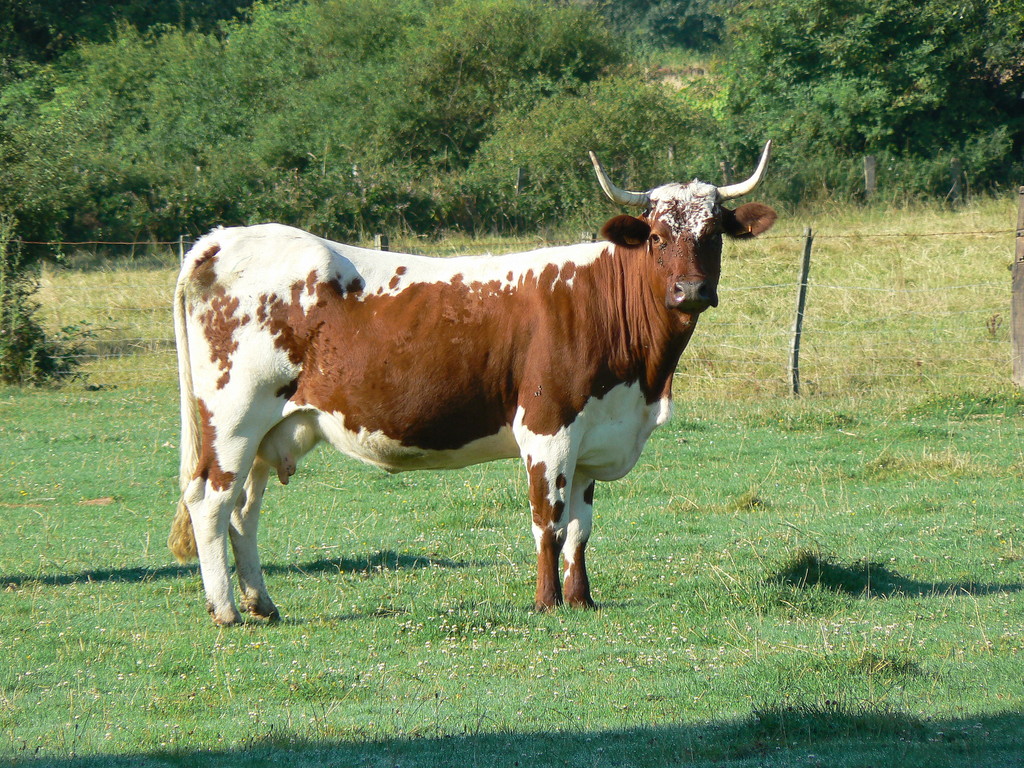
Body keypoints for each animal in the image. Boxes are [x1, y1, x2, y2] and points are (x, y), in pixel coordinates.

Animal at [168, 143, 776, 625]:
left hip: (270, 430)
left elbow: (581, 529)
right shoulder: (547, 428)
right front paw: (547, 603)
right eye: (655, 236)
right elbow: (549, 523)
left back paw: (262, 604)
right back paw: (225, 610)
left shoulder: (592, 435)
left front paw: (582, 600)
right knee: (211, 505)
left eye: (714, 234)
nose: (690, 290)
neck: (642, 382)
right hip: (232, 420)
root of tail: (220, 240)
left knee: (244, 513)